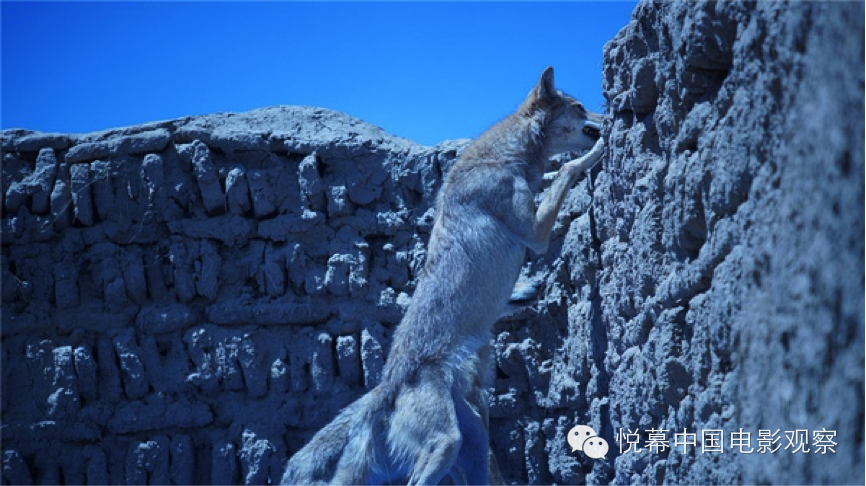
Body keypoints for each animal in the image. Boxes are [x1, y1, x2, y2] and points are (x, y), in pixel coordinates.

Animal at [282, 67, 600, 486]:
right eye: (580, 107)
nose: (606, 117)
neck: (506, 157)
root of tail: (388, 384)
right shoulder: (536, 233)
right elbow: (566, 168)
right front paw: (597, 153)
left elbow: (558, 171)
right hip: (444, 444)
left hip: (474, 443)